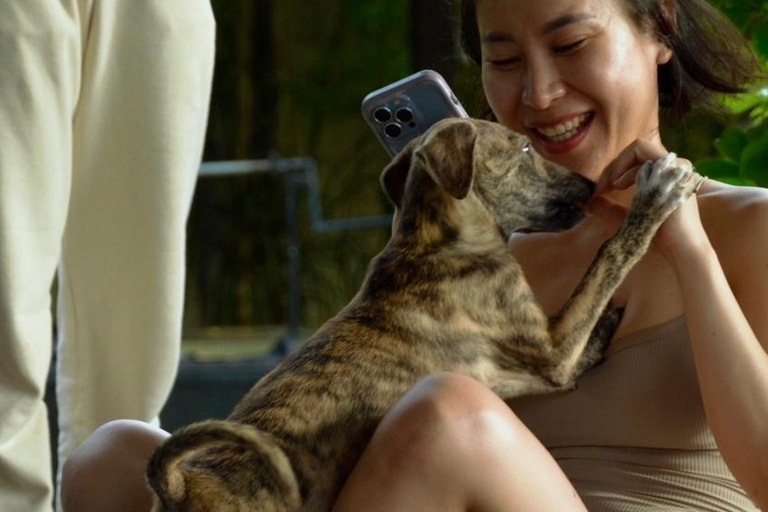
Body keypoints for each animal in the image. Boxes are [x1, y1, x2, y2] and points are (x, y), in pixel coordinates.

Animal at [144, 118, 696, 510]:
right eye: (522, 149)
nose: (588, 182)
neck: (434, 242)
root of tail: (181, 487)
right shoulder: (551, 352)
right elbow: (608, 258)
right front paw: (655, 197)